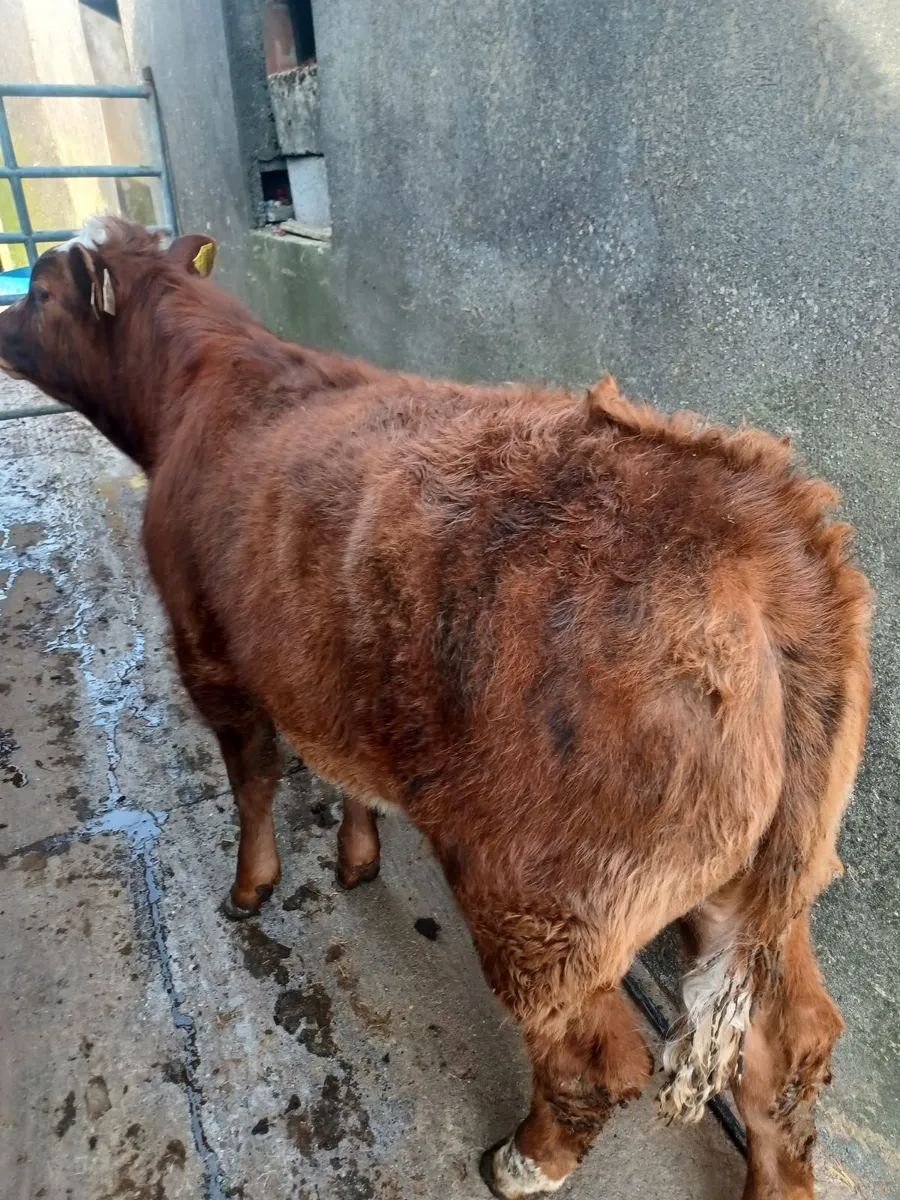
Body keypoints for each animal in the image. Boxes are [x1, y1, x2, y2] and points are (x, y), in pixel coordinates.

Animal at [0, 218, 872, 1199]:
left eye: (40, 291)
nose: (0, 323)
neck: (205, 384)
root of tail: (767, 534)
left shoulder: (208, 653)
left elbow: (254, 780)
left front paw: (251, 885)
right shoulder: (327, 673)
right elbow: (342, 773)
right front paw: (357, 857)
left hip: (544, 894)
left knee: (595, 1057)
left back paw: (523, 1161)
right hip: (764, 884)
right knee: (790, 1045)